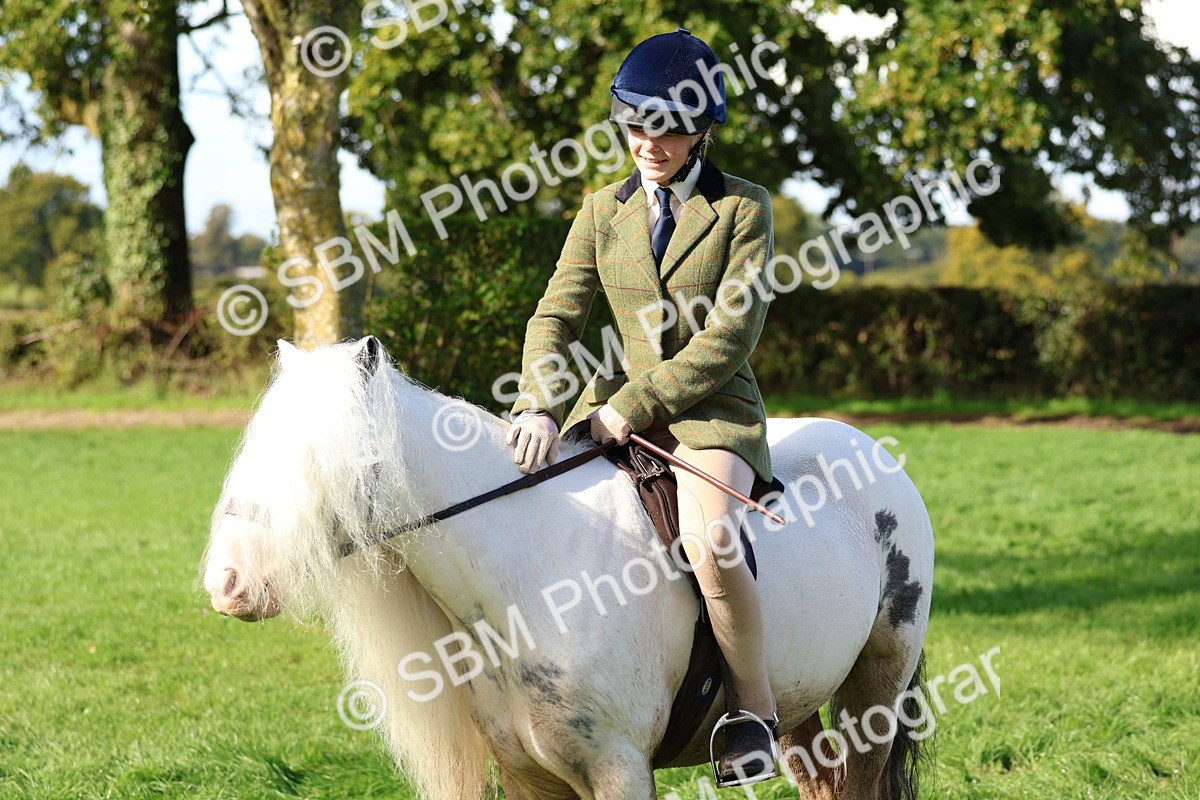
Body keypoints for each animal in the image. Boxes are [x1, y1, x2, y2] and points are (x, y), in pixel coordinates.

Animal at [201, 336, 934, 800]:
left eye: (317, 459)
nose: (226, 583)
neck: (528, 572)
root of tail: (870, 448)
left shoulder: (620, 771)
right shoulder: (530, 777)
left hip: (877, 685)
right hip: (801, 696)